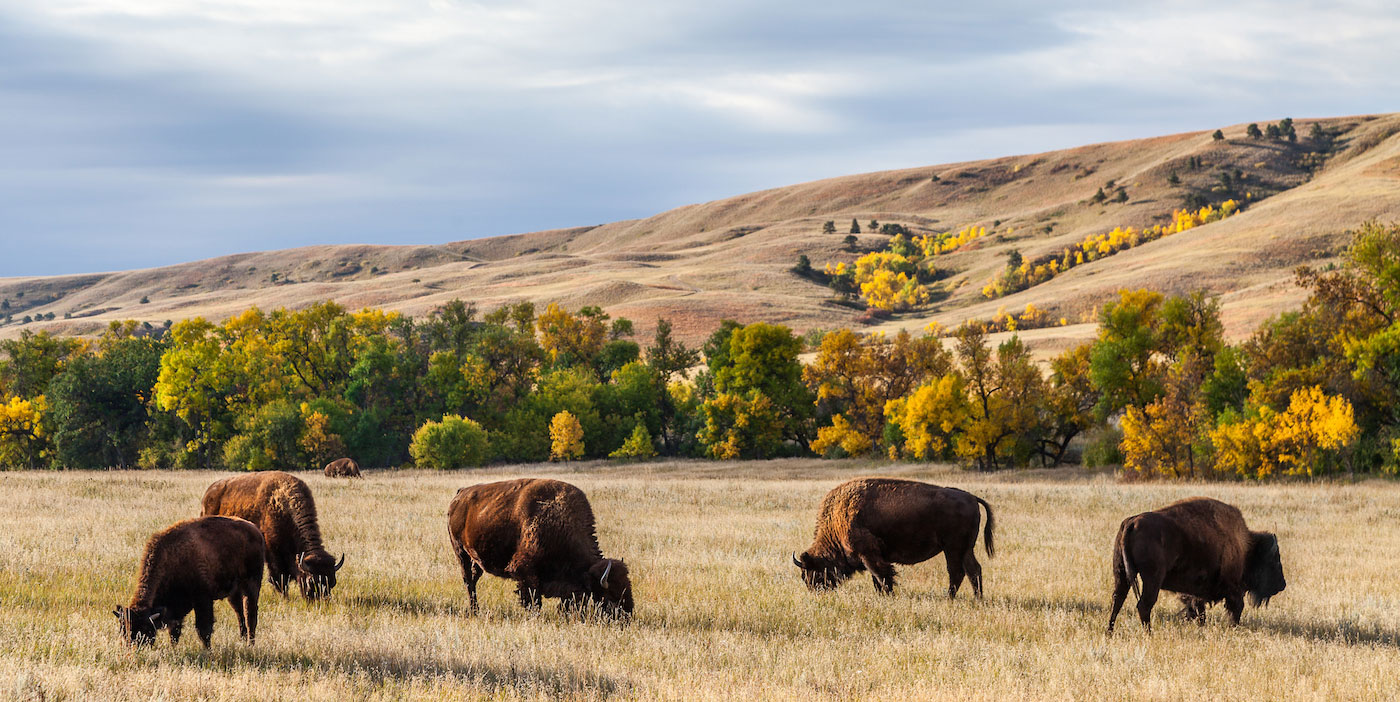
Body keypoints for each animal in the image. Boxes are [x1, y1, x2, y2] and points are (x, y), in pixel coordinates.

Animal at [112, 515, 264, 644]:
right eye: (124, 631)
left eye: (144, 629)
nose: (134, 651)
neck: (172, 557)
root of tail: (255, 530)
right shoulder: (176, 608)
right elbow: (174, 633)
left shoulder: (203, 600)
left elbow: (203, 630)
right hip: (234, 592)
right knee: (239, 613)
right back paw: (243, 640)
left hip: (252, 584)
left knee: (250, 614)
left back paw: (250, 644)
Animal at [200, 467, 344, 599]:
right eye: (311, 581)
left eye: (332, 583)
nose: (321, 603)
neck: (285, 506)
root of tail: (208, 493)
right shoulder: (273, 553)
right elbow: (279, 577)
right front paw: (284, 597)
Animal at [448, 476, 635, 619]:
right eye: (609, 597)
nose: (627, 618)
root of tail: (460, 495)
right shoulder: (525, 572)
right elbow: (534, 601)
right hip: (460, 552)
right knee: (468, 581)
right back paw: (474, 611)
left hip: (475, 557)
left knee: (474, 578)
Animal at [789, 476, 996, 596]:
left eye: (813, 572)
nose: (816, 592)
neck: (838, 518)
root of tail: (972, 497)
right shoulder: (874, 557)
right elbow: (877, 579)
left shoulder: (869, 555)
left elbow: (882, 576)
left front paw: (888, 596)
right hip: (965, 549)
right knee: (973, 570)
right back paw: (977, 599)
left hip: (952, 548)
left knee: (957, 572)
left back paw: (950, 598)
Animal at [1108, 496, 1282, 633]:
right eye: (1273, 561)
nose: (1282, 585)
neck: (1245, 546)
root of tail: (1131, 522)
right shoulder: (1233, 590)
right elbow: (1234, 609)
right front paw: (1233, 627)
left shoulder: (1196, 592)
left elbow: (1198, 609)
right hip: (1152, 579)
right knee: (1144, 605)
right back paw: (1149, 634)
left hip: (1121, 573)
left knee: (1117, 600)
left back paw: (1109, 632)